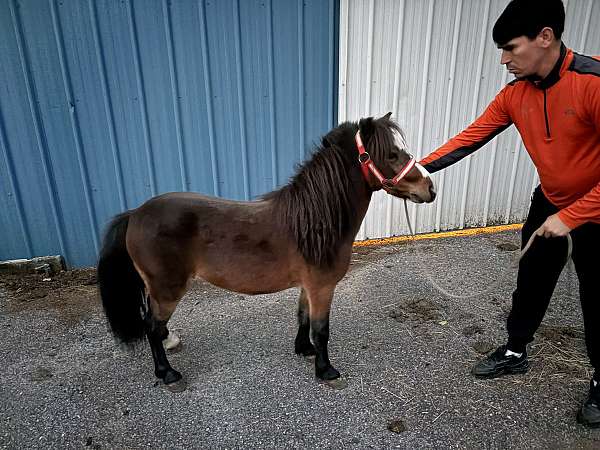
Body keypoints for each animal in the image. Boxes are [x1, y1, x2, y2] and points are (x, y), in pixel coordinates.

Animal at [97, 114, 436, 392]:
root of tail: (136, 214)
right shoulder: (322, 287)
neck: (314, 220)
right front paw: (326, 370)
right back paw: (168, 374)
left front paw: (304, 350)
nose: (430, 189)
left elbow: (303, 318)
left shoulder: (309, 286)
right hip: (168, 289)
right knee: (151, 328)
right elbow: (322, 329)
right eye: (392, 154)